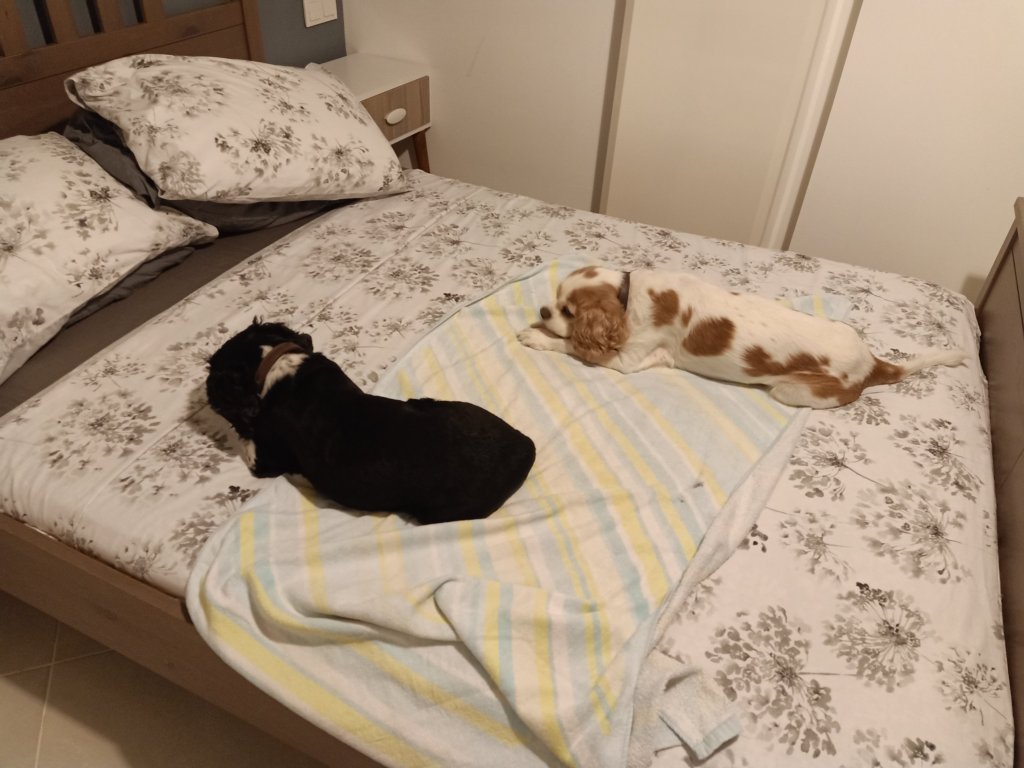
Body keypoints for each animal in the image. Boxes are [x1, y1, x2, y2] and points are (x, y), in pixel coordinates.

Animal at [517, 266, 966, 408]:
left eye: (569, 311)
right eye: (554, 301)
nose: (543, 311)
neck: (629, 296)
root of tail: (874, 363)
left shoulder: (627, 358)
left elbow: (574, 347)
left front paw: (537, 337)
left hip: (791, 390)